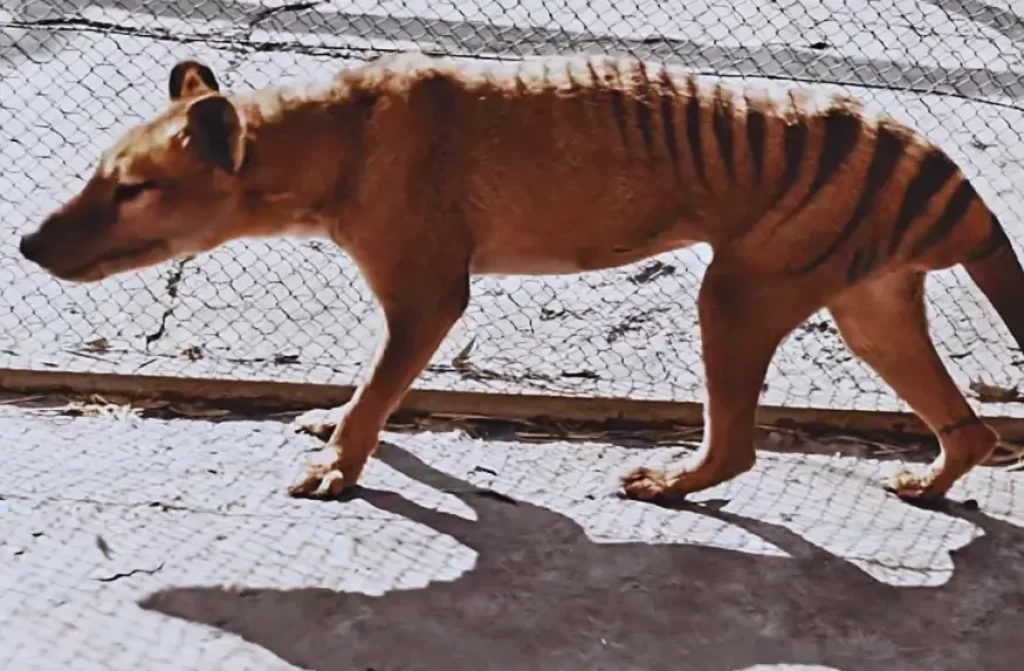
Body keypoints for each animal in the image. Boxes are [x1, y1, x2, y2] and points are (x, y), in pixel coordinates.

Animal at [16, 52, 1024, 506]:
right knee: (970, 427)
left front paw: (341, 464)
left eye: (133, 189)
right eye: (98, 172)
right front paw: (331, 426)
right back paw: (933, 483)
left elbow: (381, 393)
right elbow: (365, 388)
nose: (25, 242)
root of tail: (940, 162)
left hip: (738, 294)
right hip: (867, 306)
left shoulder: (427, 292)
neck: (334, 136)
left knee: (739, 445)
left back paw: (670, 482)